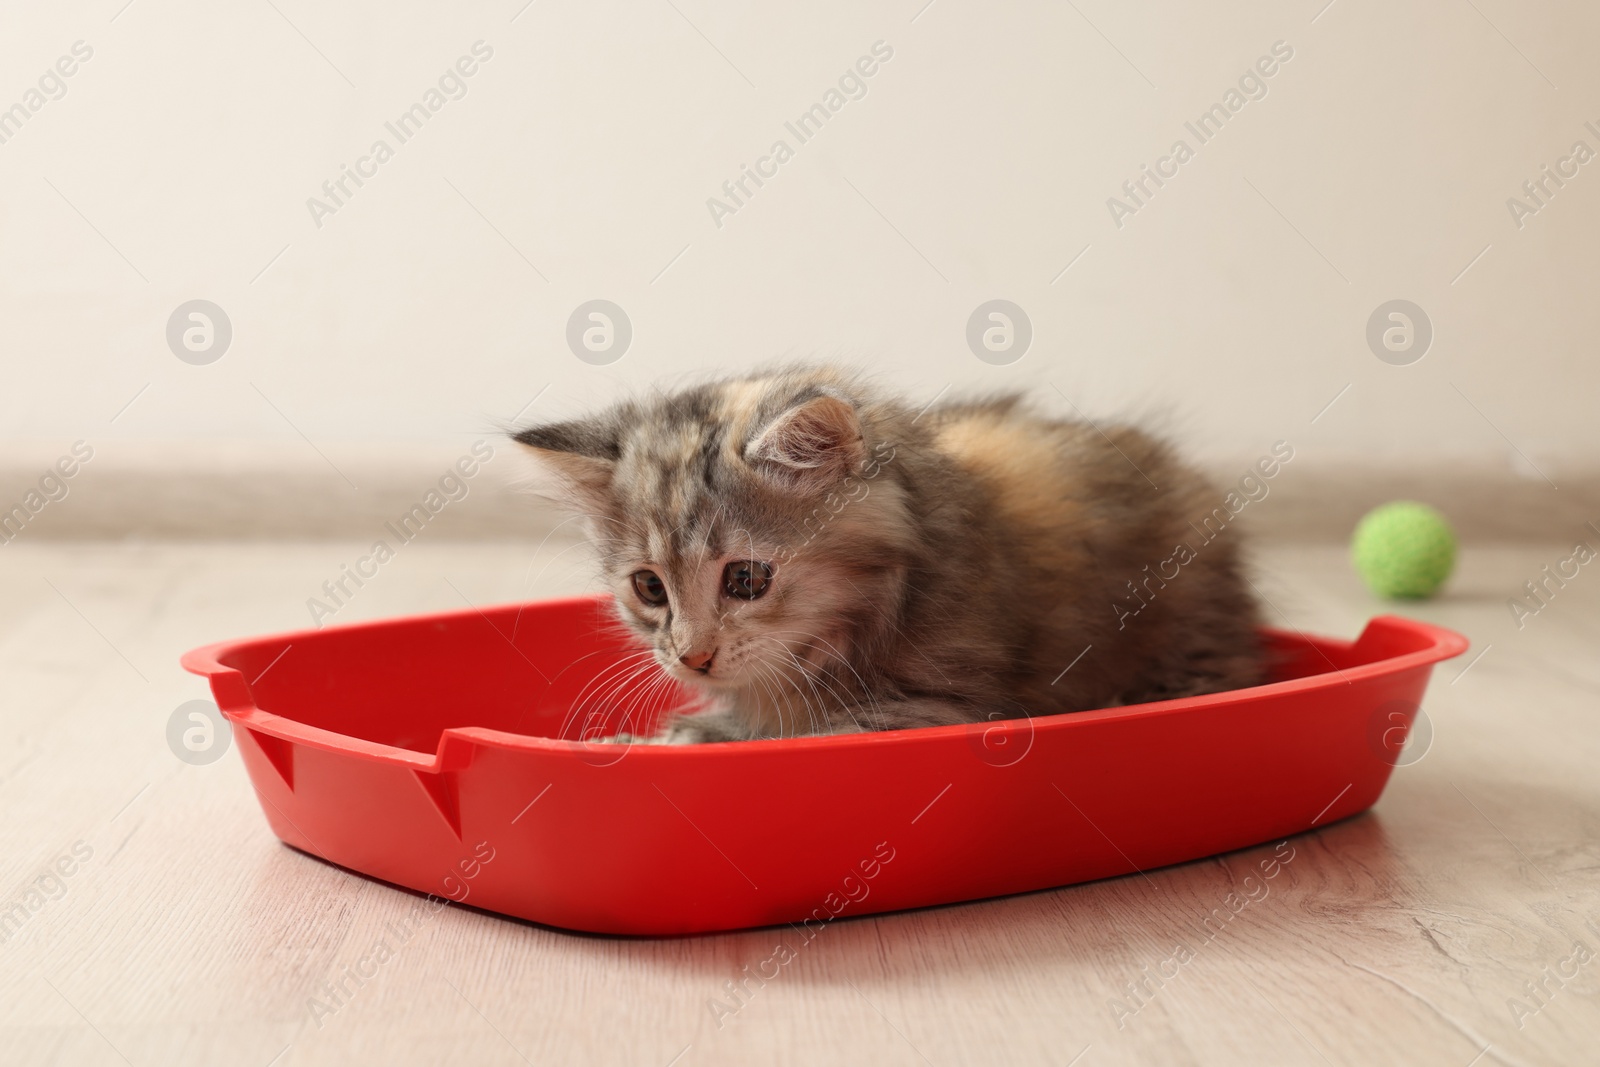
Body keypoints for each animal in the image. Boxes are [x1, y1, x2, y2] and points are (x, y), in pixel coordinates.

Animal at [512, 367, 1260, 742]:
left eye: (746, 579)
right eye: (649, 588)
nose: (691, 657)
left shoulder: (940, 707)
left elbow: (793, 739)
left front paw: (675, 742)